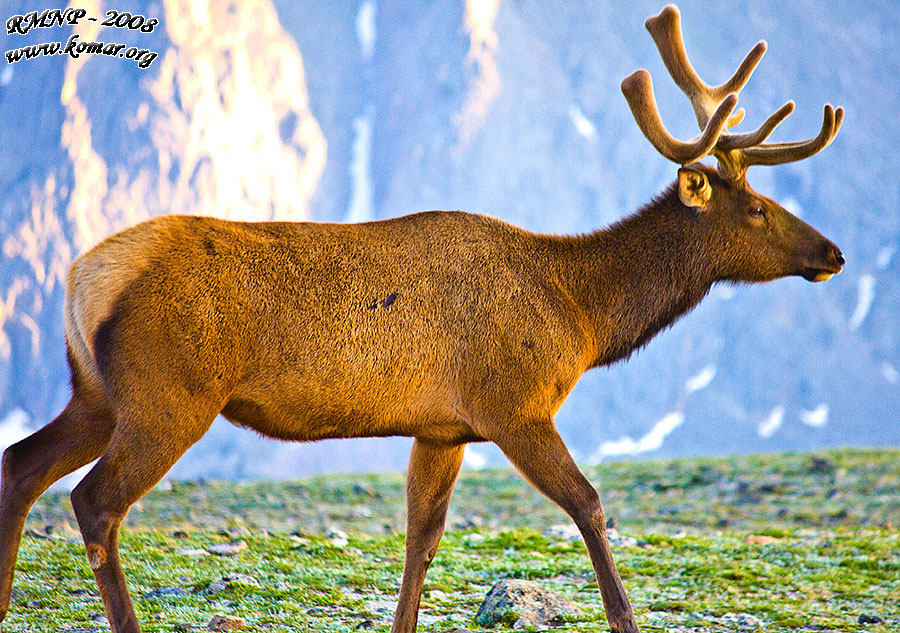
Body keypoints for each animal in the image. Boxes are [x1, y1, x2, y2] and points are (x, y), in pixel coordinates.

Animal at [0, 4, 844, 632]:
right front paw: (624, 616)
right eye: (759, 209)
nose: (833, 252)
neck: (581, 315)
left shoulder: (442, 427)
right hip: (168, 395)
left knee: (22, 464)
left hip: (95, 392)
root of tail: (82, 276)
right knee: (94, 501)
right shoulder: (514, 403)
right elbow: (589, 503)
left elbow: (421, 539)